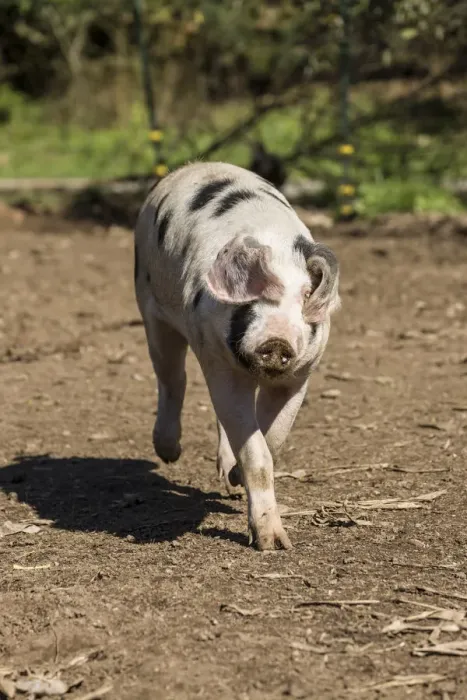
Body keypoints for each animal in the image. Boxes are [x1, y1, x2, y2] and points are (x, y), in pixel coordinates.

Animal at [134, 162, 340, 550]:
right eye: (251, 296)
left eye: (305, 296)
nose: (276, 340)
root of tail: (197, 166)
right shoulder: (218, 364)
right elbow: (257, 453)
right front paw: (272, 544)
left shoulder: (300, 375)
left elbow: (273, 439)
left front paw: (234, 480)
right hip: (150, 307)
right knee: (173, 379)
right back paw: (168, 453)